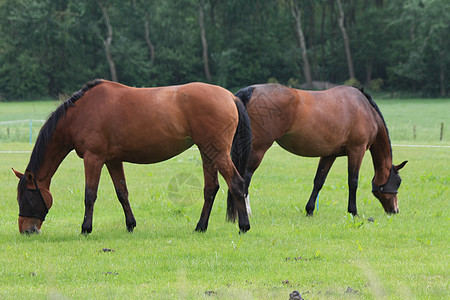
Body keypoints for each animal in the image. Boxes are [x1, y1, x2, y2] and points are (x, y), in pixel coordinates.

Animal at [12, 79, 251, 234]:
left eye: (26, 196)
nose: (26, 230)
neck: (79, 113)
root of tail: (230, 96)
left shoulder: (93, 158)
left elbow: (90, 194)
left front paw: (86, 228)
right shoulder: (112, 160)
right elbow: (122, 193)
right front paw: (130, 225)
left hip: (217, 153)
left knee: (236, 183)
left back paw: (244, 226)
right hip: (207, 152)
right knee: (211, 189)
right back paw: (201, 227)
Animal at [230, 83, 406, 217]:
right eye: (398, 182)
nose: (395, 210)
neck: (365, 109)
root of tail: (251, 90)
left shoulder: (329, 154)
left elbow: (319, 181)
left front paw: (309, 210)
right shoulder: (357, 151)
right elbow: (353, 181)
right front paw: (353, 211)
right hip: (256, 150)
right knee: (245, 178)